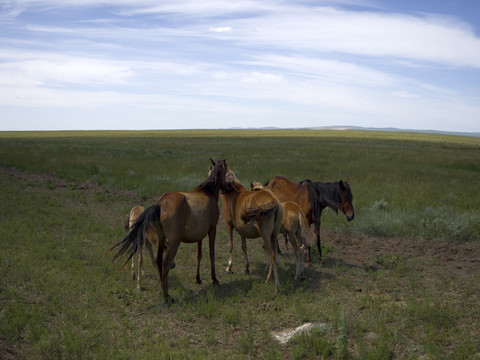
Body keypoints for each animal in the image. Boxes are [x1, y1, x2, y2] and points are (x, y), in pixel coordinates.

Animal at [111, 158, 228, 300]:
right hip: (173, 242)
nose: (228, 186)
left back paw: (161, 289)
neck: (207, 192)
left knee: (158, 261)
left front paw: (198, 278)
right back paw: (166, 295)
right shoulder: (212, 230)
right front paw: (214, 279)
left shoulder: (199, 235)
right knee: (166, 262)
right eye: (226, 171)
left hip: (161, 240)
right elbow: (211, 254)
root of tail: (160, 204)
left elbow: (198, 255)